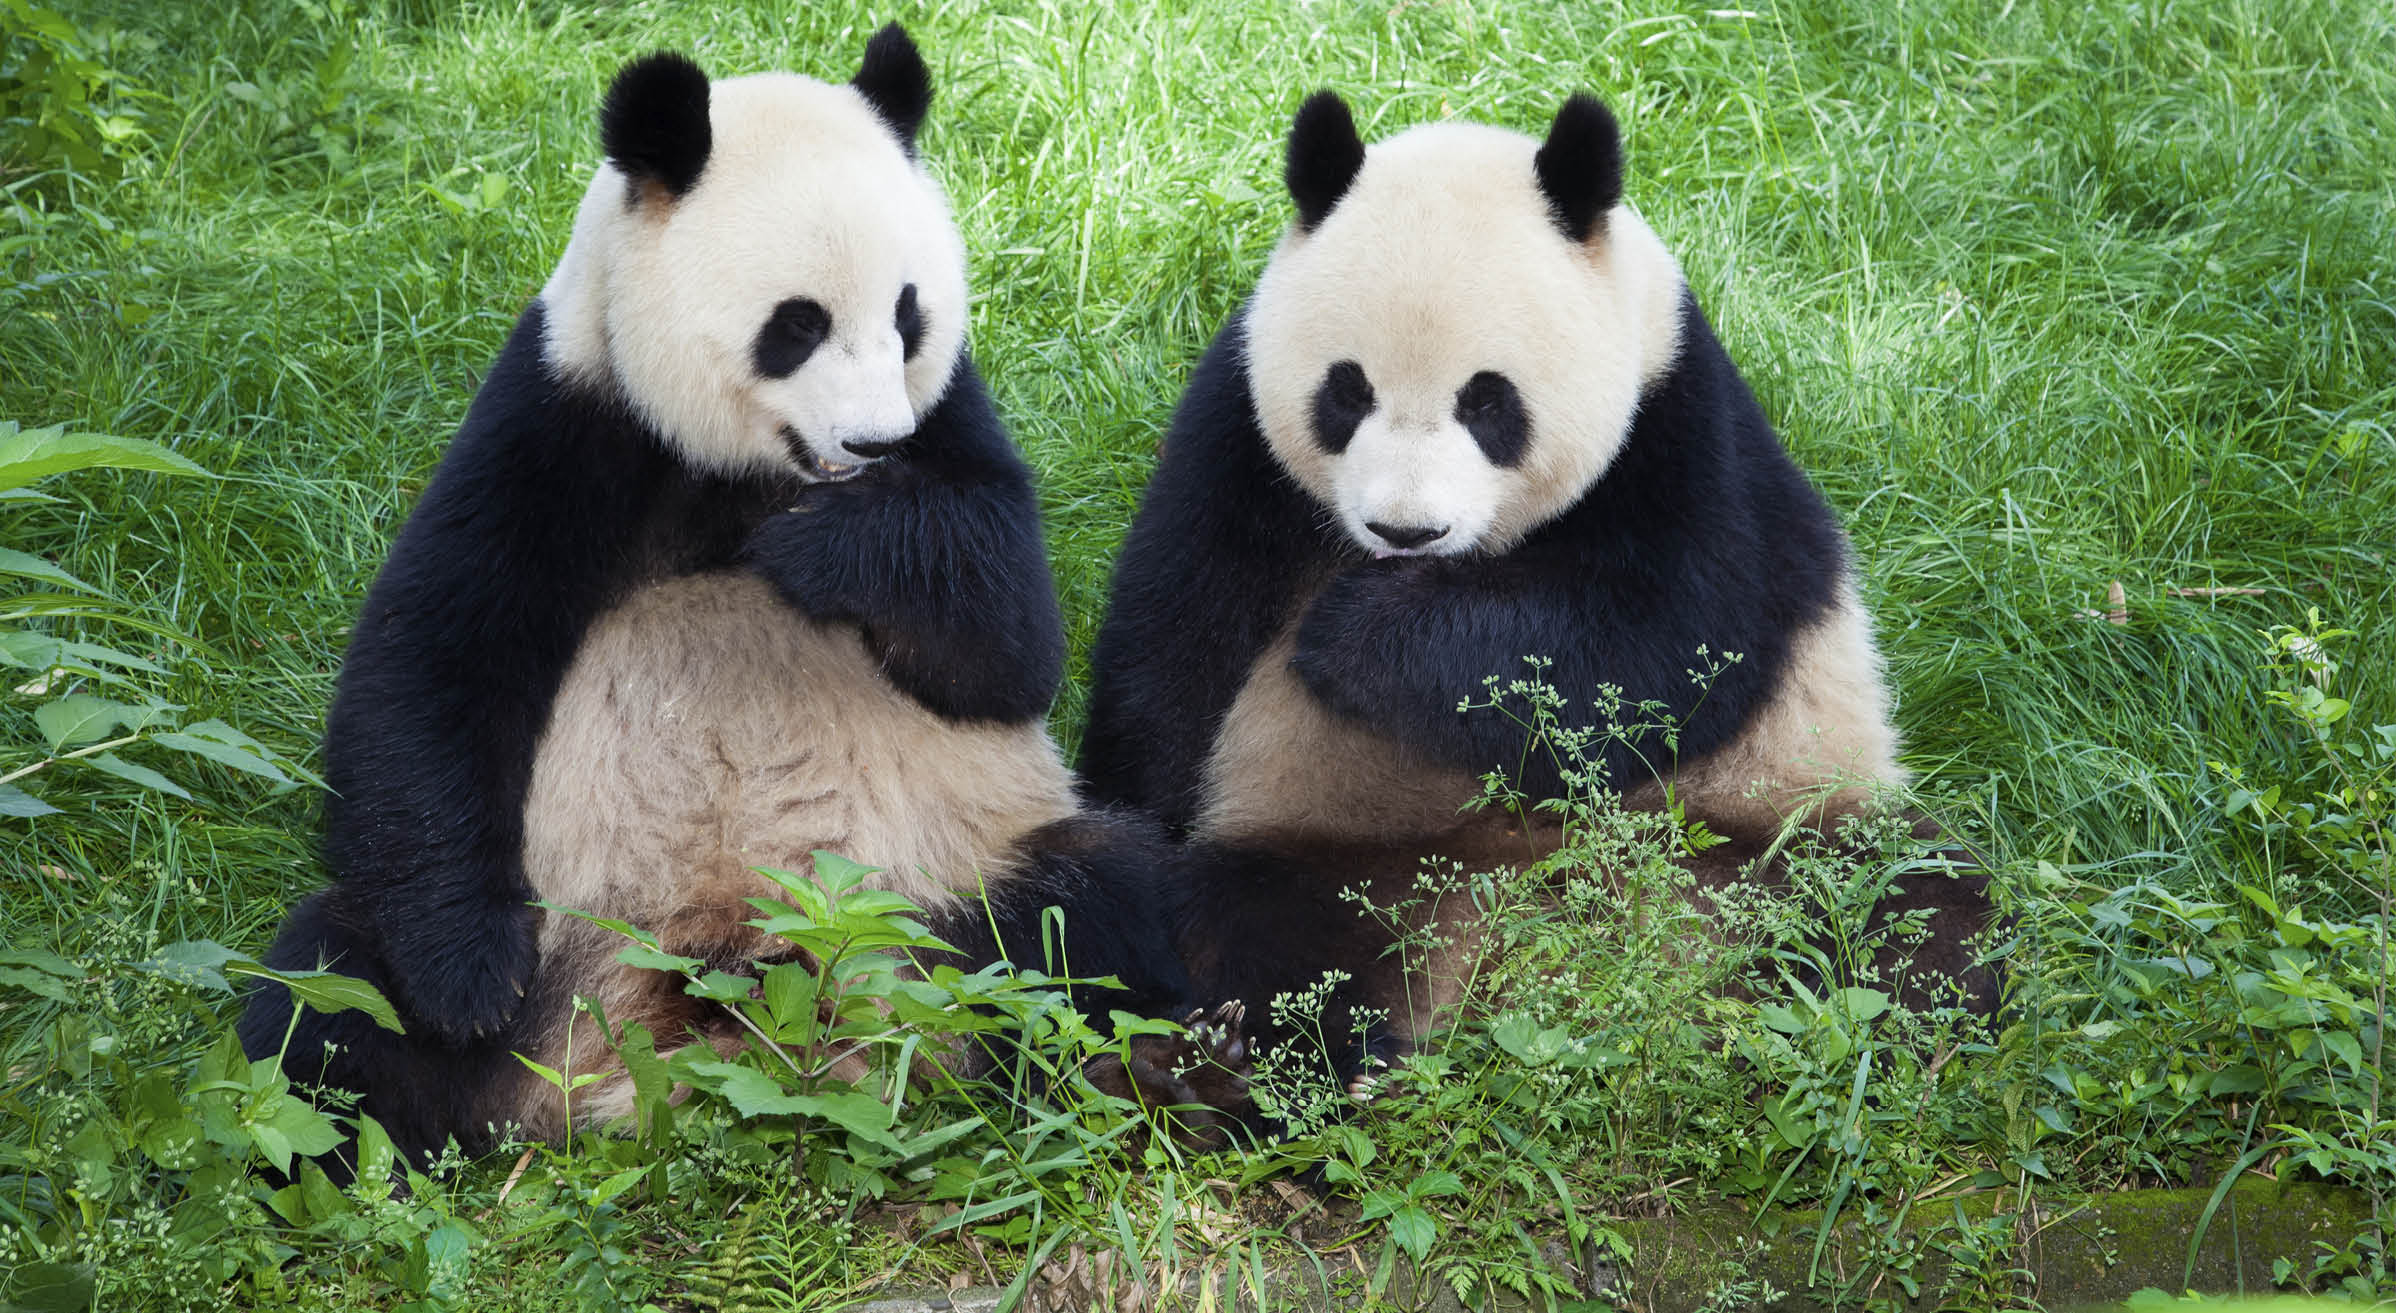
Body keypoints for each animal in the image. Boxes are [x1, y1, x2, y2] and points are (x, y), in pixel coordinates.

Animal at [238, 27, 1201, 1172]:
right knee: (326, 996)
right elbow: (433, 658)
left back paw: (1154, 1070)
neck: (753, 470)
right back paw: (339, 1145)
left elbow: (1008, 648)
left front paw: (830, 548)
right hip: (562, 945)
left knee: (1097, 910)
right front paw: (466, 977)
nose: (874, 442)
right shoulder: (567, 412)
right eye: (797, 325)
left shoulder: (952, 419)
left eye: (908, 313)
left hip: (939, 891)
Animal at [1080, 91, 1995, 1093]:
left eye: (1488, 401)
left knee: (1911, 910)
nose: (1405, 531)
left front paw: (1355, 636)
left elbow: (1659, 651)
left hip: (1774, 814)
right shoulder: (1237, 433)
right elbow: (1174, 643)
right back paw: (1206, 1062)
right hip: (1330, 840)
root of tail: (1532, 939)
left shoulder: (1681, 426)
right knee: (1263, 933)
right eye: (1346, 393)